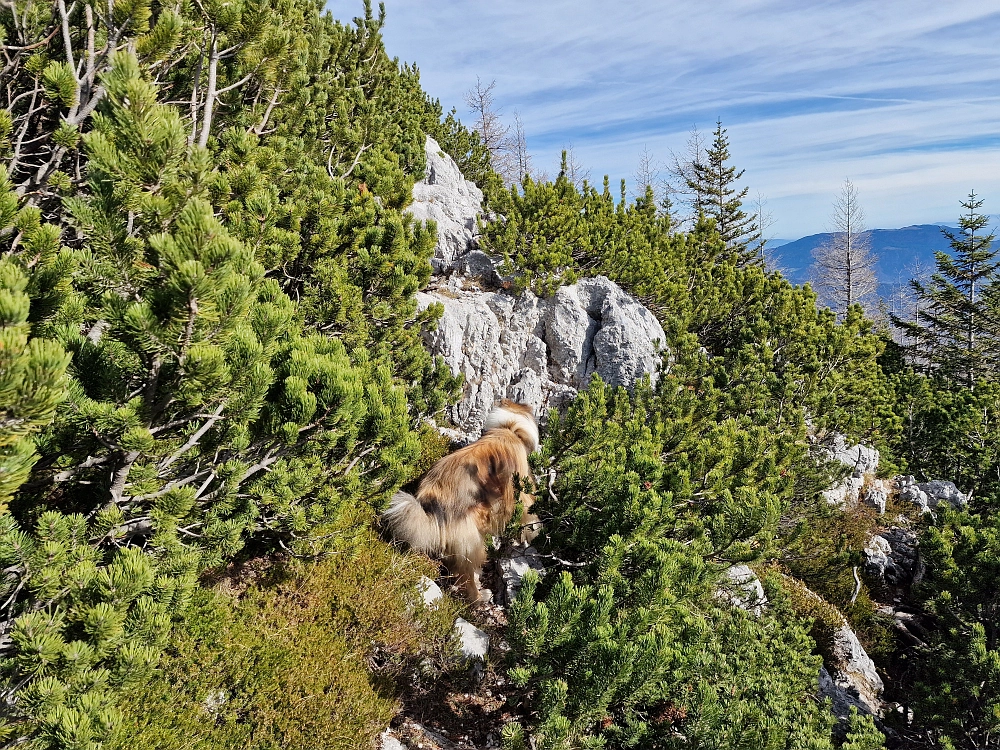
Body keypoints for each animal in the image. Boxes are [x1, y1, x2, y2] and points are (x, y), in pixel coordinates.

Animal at [380, 402, 540, 604]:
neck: (508, 428)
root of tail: (432, 508)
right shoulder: (520, 490)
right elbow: (528, 512)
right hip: (471, 544)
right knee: (467, 578)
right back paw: (479, 596)